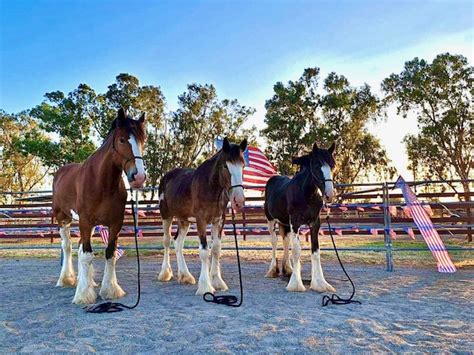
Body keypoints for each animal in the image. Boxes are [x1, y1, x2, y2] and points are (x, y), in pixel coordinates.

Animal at [52, 109, 146, 306]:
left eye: (143, 140)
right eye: (122, 140)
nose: (139, 177)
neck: (102, 183)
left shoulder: (115, 223)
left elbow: (110, 253)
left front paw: (110, 290)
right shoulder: (86, 222)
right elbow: (86, 254)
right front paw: (83, 295)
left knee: (79, 247)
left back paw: (86, 281)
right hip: (63, 219)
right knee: (67, 246)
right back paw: (66, 279)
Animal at [159, 138, 248, 296]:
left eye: (243, 165)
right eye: (226, 166)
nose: (238, 200)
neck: (210, 187)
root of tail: (166, 177)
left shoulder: (218, 221)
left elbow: (216, 249)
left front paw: (217, 281)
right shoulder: (201, 221)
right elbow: (204, 251)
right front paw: (205, 286)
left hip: (184, 220)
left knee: (178, 243)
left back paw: (185, 275)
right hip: (166, 216)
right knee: (167, 241)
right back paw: (165, 273)